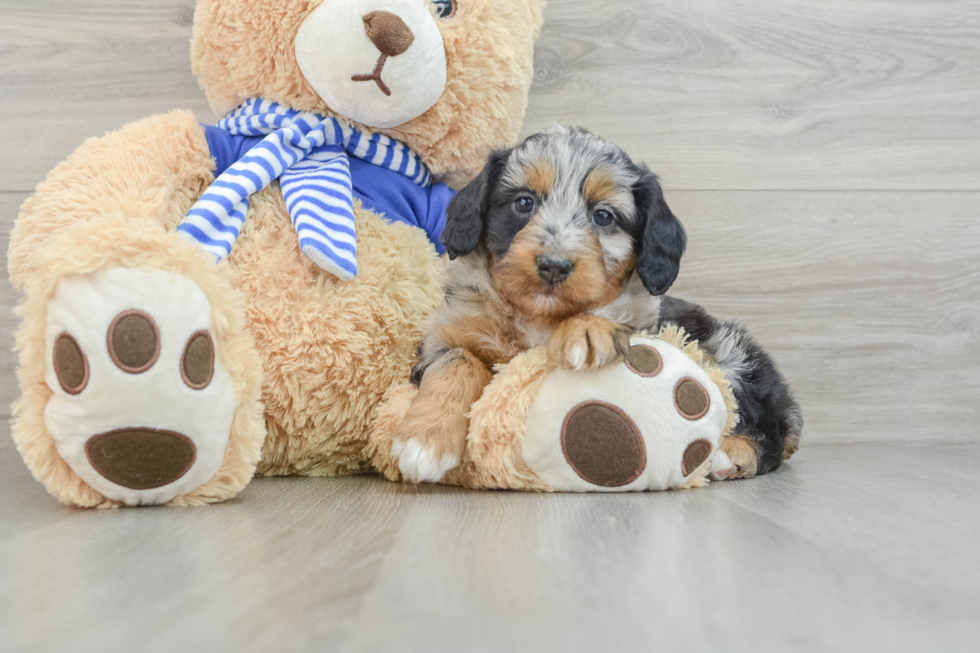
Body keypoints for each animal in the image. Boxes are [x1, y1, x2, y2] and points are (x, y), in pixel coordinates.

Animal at [390, 127, 804, 484]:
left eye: (603, 216)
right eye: (524, 203)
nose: (554, 266)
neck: (539, 317)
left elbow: (609, 309)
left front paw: (586, 329)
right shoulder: (444, 335)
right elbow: (457, 362)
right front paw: (424, 441)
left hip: (727, 353)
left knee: (769, 436)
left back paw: (726, 455)